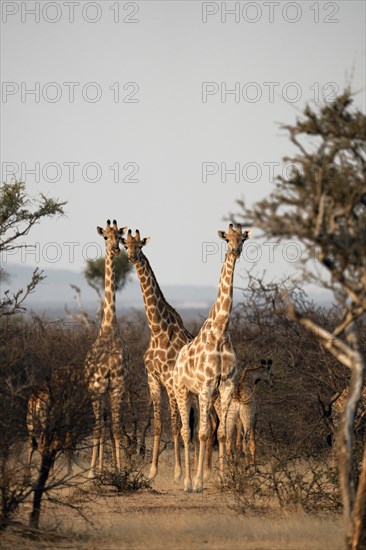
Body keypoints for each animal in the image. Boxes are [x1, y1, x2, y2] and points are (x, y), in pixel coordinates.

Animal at [121, 231, 193, 480]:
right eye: (126, 244)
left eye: (140, 246)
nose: (132, 257)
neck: (158, 329)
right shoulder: (152, 378)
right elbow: (158, 425)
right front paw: (152, 471)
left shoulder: (170, 381)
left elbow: (174, 424)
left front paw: (178, 472)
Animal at [173, 226, 250, 494]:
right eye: (228, 239)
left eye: (243, 238)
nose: (235, 250)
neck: (221, 330)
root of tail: (177, 361)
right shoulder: (206, 385)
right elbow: (205, 433)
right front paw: (198, 483)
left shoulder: (225, 385)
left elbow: (223, 434)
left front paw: (224, 480)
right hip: (182, 390)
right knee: (187, 432)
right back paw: (187, 483)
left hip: (197, 396)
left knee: (198, 430)